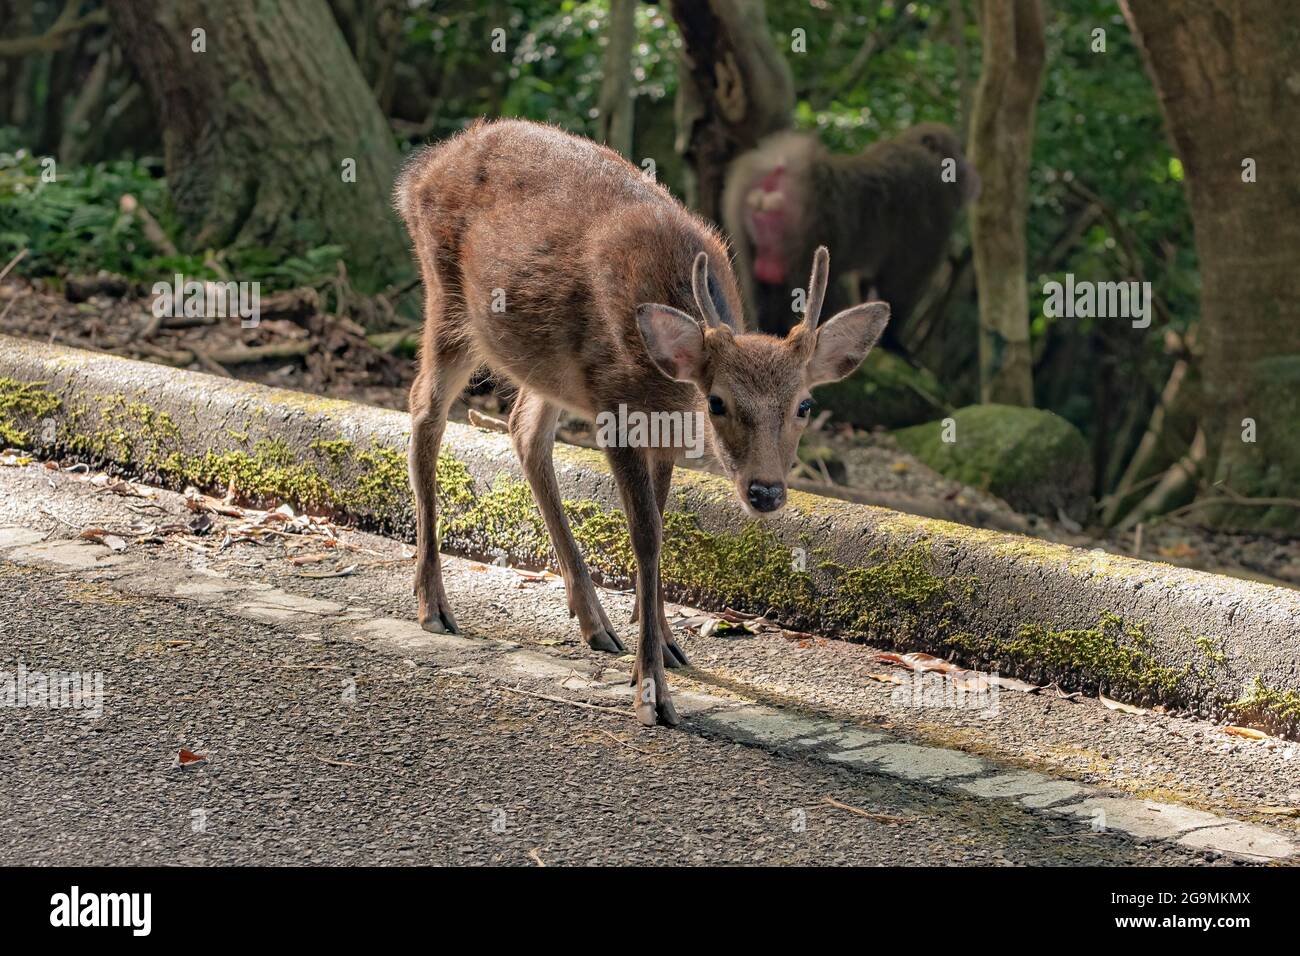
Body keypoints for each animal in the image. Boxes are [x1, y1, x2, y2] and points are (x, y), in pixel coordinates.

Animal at [392, 121, 883, 733]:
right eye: (717, 402)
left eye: (805, 406)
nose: (766, 491)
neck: (669, 387)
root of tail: (420, 172)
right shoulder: (617, 406)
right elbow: (645, 535)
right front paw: (652, 691)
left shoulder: (662, 432)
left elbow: (661, 522)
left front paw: (666, 643)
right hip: (449, 302)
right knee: (425, 411)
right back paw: (433, 604)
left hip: (545, 364)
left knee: (523, 429)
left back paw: (594, 621)